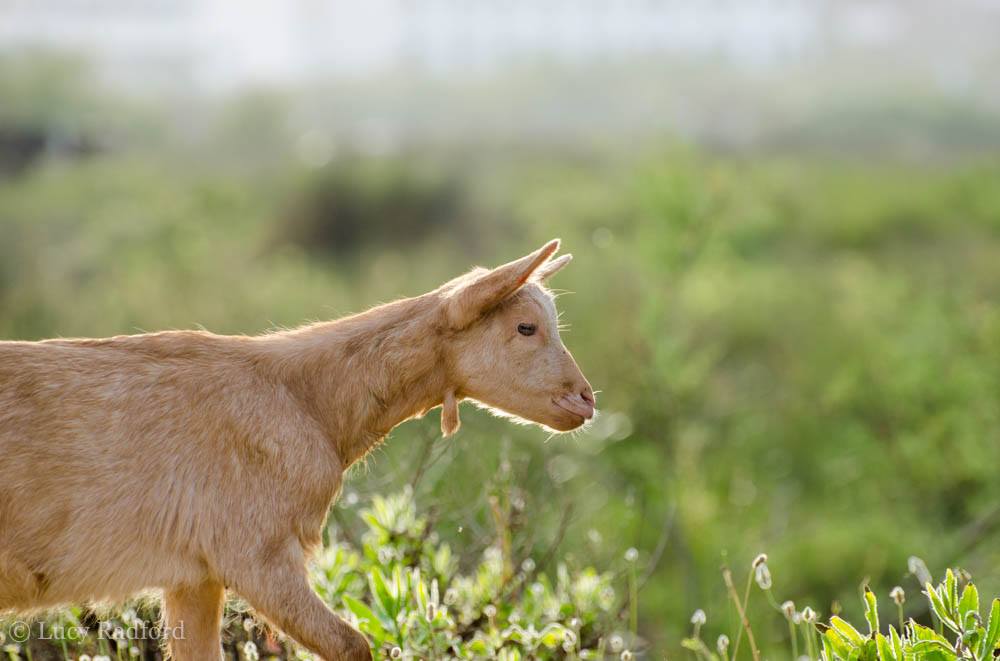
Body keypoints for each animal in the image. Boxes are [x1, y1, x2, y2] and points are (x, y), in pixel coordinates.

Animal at [0, 239, 594, 660]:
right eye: (526, 327)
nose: (585, 400)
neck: (308, 398)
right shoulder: (258, 553)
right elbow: (353, 645)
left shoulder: (194, 574)